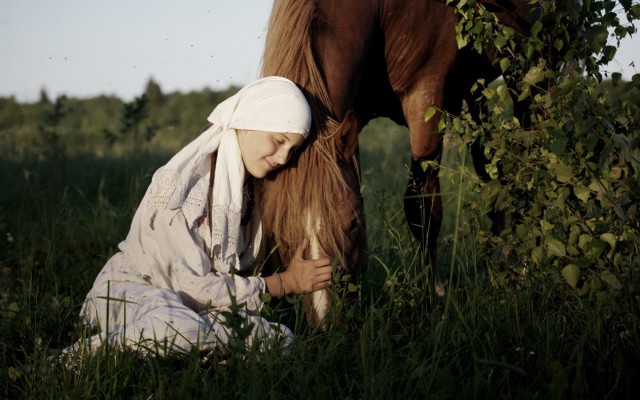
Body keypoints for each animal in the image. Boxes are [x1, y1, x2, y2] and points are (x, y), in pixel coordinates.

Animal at [260, 0, 536, 326]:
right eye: (280, 232)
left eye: (353, 224)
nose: (328, 322)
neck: (381, 12)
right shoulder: (352, 124)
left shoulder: (426, 103)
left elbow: (421, 210)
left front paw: (436, 299)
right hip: (475, 90)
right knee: (491, 175)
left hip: (530, 65)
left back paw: (524, 266)